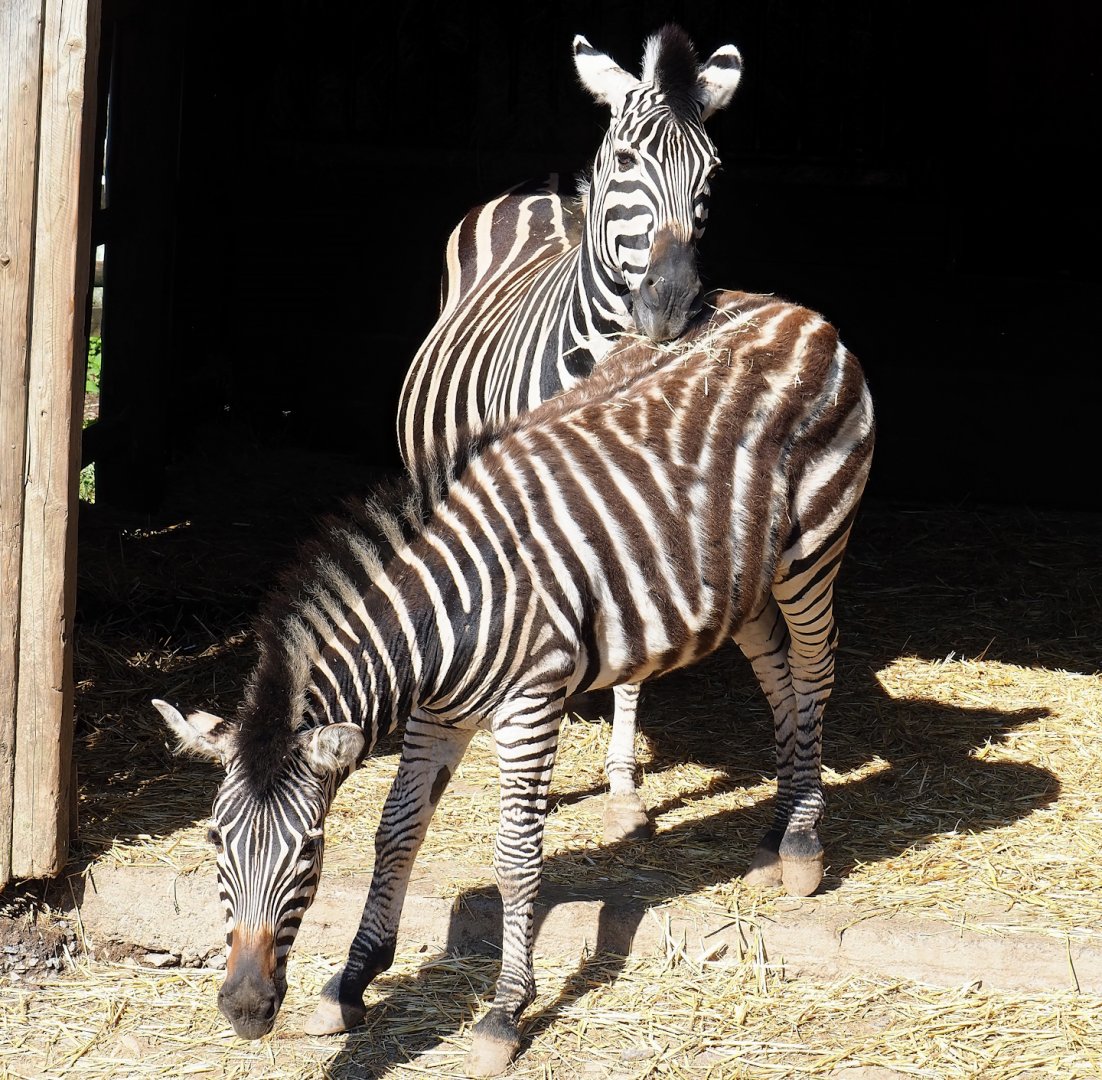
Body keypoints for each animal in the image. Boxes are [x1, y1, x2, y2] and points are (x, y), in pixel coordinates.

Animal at [154, 289, 874, 1076]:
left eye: (310, 850)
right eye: (215, 842)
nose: (245, 1011)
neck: (442, 622)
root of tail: (794, 310)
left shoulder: (531, 705)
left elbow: (516, 859)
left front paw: (503, 1012)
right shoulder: (435, 715)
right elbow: (396, 832)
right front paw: (352, 981)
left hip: (814, 548)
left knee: (814, 670)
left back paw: (803, 843)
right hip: (743, 578)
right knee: (778, 674)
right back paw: (777, 829)